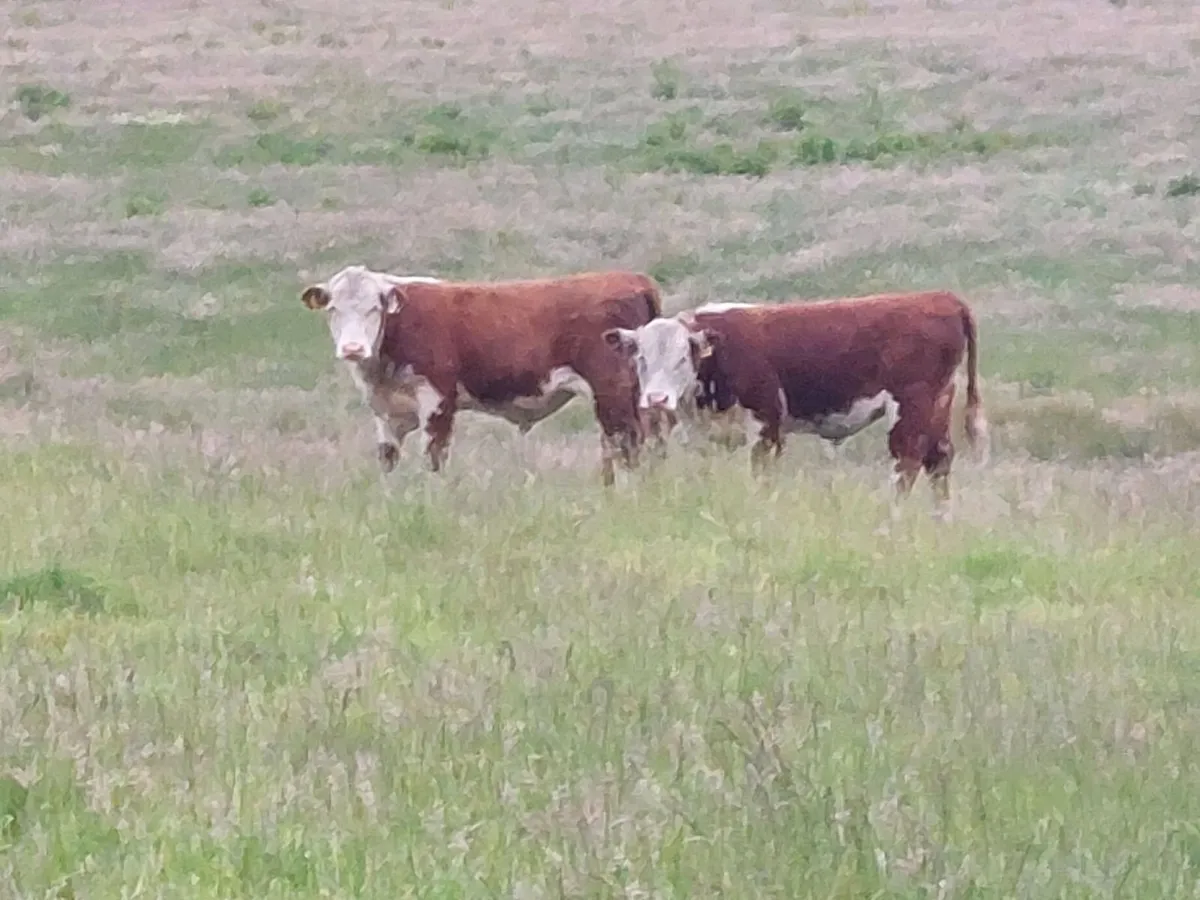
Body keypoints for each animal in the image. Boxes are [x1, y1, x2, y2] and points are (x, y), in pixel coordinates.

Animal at [300, 265, 662, 485]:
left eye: (373, 309)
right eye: (333, 309)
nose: (352, 348)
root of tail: (631, 277)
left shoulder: (438, 400)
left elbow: (434, 457)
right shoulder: (386, 412)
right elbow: (388, 460)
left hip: (612, 391)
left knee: (627, 444)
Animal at [602, 290, 988, 508]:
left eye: (684, 357)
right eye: (640, 357)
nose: (656, 399)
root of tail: (940, 297)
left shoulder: (767, 421)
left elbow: (760, 474)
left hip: (912, 404)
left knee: (907, 462)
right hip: (938, 403)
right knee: (938, 460)